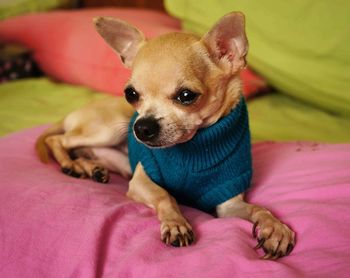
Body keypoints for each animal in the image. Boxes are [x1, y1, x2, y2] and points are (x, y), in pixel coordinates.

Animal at [35, 11, 294, 260]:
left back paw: (90, 167)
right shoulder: (141, 181)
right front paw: (176, 223)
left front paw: (275, 228)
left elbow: (258, 208)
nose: (141, 127)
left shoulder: (228, 203)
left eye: (186, 95)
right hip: (105, 130)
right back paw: (70, 165)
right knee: (58, 140)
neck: (196, 147)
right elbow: (165, 196)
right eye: (131, 94)